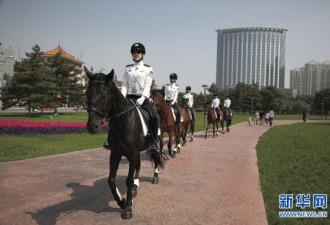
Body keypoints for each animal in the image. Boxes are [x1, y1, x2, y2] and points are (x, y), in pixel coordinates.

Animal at [85, 67, 165, 220]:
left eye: (104, 94)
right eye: (87, 93)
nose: (92, 126)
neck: (122, 123)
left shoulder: (132, 153)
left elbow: (128, 179)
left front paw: (127, 208)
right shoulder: (115, 153)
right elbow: (111, 180)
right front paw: (121, 201)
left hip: (156, 142)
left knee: (156, 157)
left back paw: (155, 176)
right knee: (138, 166)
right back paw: (135, 187)